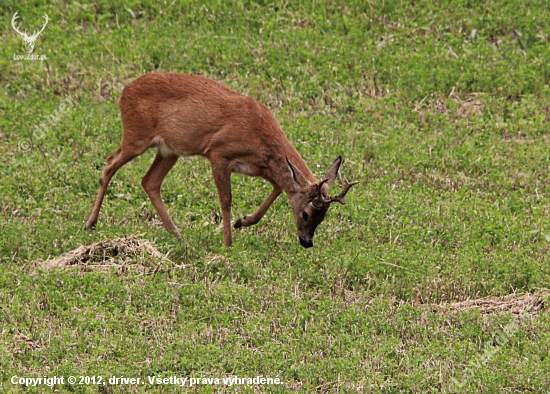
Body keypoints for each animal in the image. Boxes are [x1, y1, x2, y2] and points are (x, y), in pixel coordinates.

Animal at [84, 72, 356, 248]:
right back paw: (90, 223)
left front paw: (243, 222)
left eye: (323, 217)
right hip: (137, 135)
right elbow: (226, 200)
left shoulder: (258, 167)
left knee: (149, 181)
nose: (307, 242)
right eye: (307, 214)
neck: (260, 136)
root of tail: (124, 92)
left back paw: (176, 233)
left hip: (169, 150)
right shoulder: (219, 153)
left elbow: (279, 187)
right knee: (109, 164)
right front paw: (228, 242)